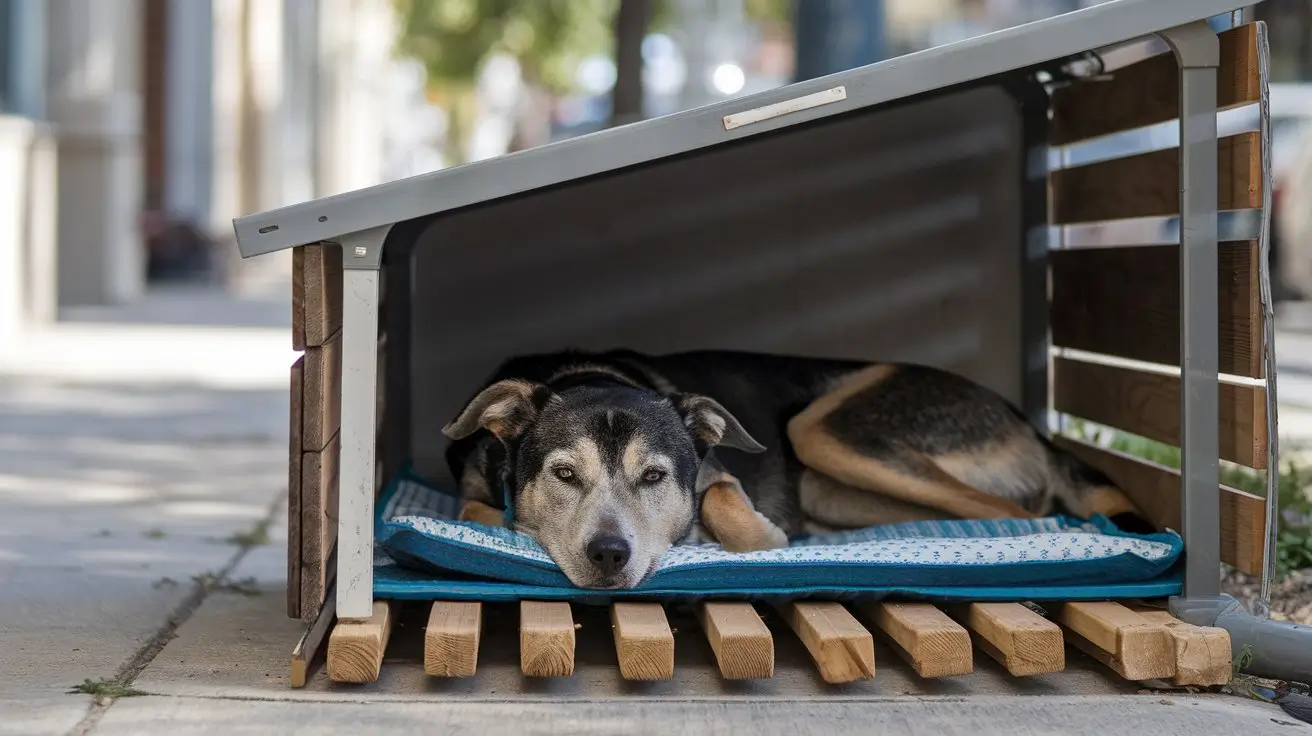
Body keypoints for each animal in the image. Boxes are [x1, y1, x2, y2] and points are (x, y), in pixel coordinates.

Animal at [446, 346, 1154, 587]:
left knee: (1021, 510)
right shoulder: (475, 489)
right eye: (564, 475)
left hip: (822, 432)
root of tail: (1029, 422)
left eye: (655, 477)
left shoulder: (717, 478)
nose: (610, 554)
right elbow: (481, 508)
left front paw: (759, 536)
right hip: (830, 484)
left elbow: (730, 506)